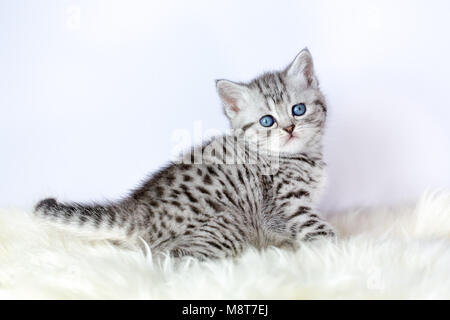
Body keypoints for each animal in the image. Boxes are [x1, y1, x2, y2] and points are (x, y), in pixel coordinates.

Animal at [35, 48, 336, 260]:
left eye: (298, 109)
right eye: (267, 121)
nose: (289, 128)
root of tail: (138, 208)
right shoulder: (284, 207)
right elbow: (320, 231)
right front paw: (335, 252)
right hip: (228, 223)